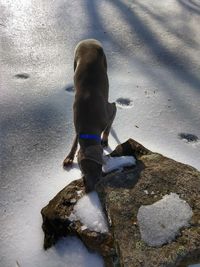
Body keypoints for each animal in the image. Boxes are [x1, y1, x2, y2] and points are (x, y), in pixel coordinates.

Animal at [62, 38, 115, 193]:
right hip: (74, 63)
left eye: (98, 168)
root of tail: (89, 40)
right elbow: (75, 141)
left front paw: (105, 139)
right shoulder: (77, 125)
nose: (89, 190)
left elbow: (109, 124)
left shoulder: (111, 109)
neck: (88, 126)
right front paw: (69, 157)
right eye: (83, 171)